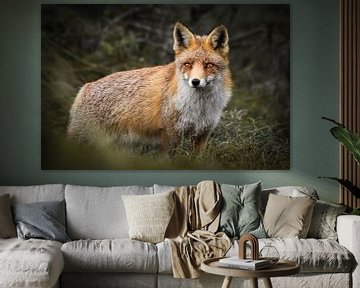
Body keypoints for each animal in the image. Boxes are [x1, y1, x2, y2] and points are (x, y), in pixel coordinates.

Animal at [66, 22, 232, 153]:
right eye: (188, 64)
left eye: (209, 65)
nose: (195, 81)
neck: (200, 108)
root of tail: (85, 87)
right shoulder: (170, 134)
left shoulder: (202, 134)